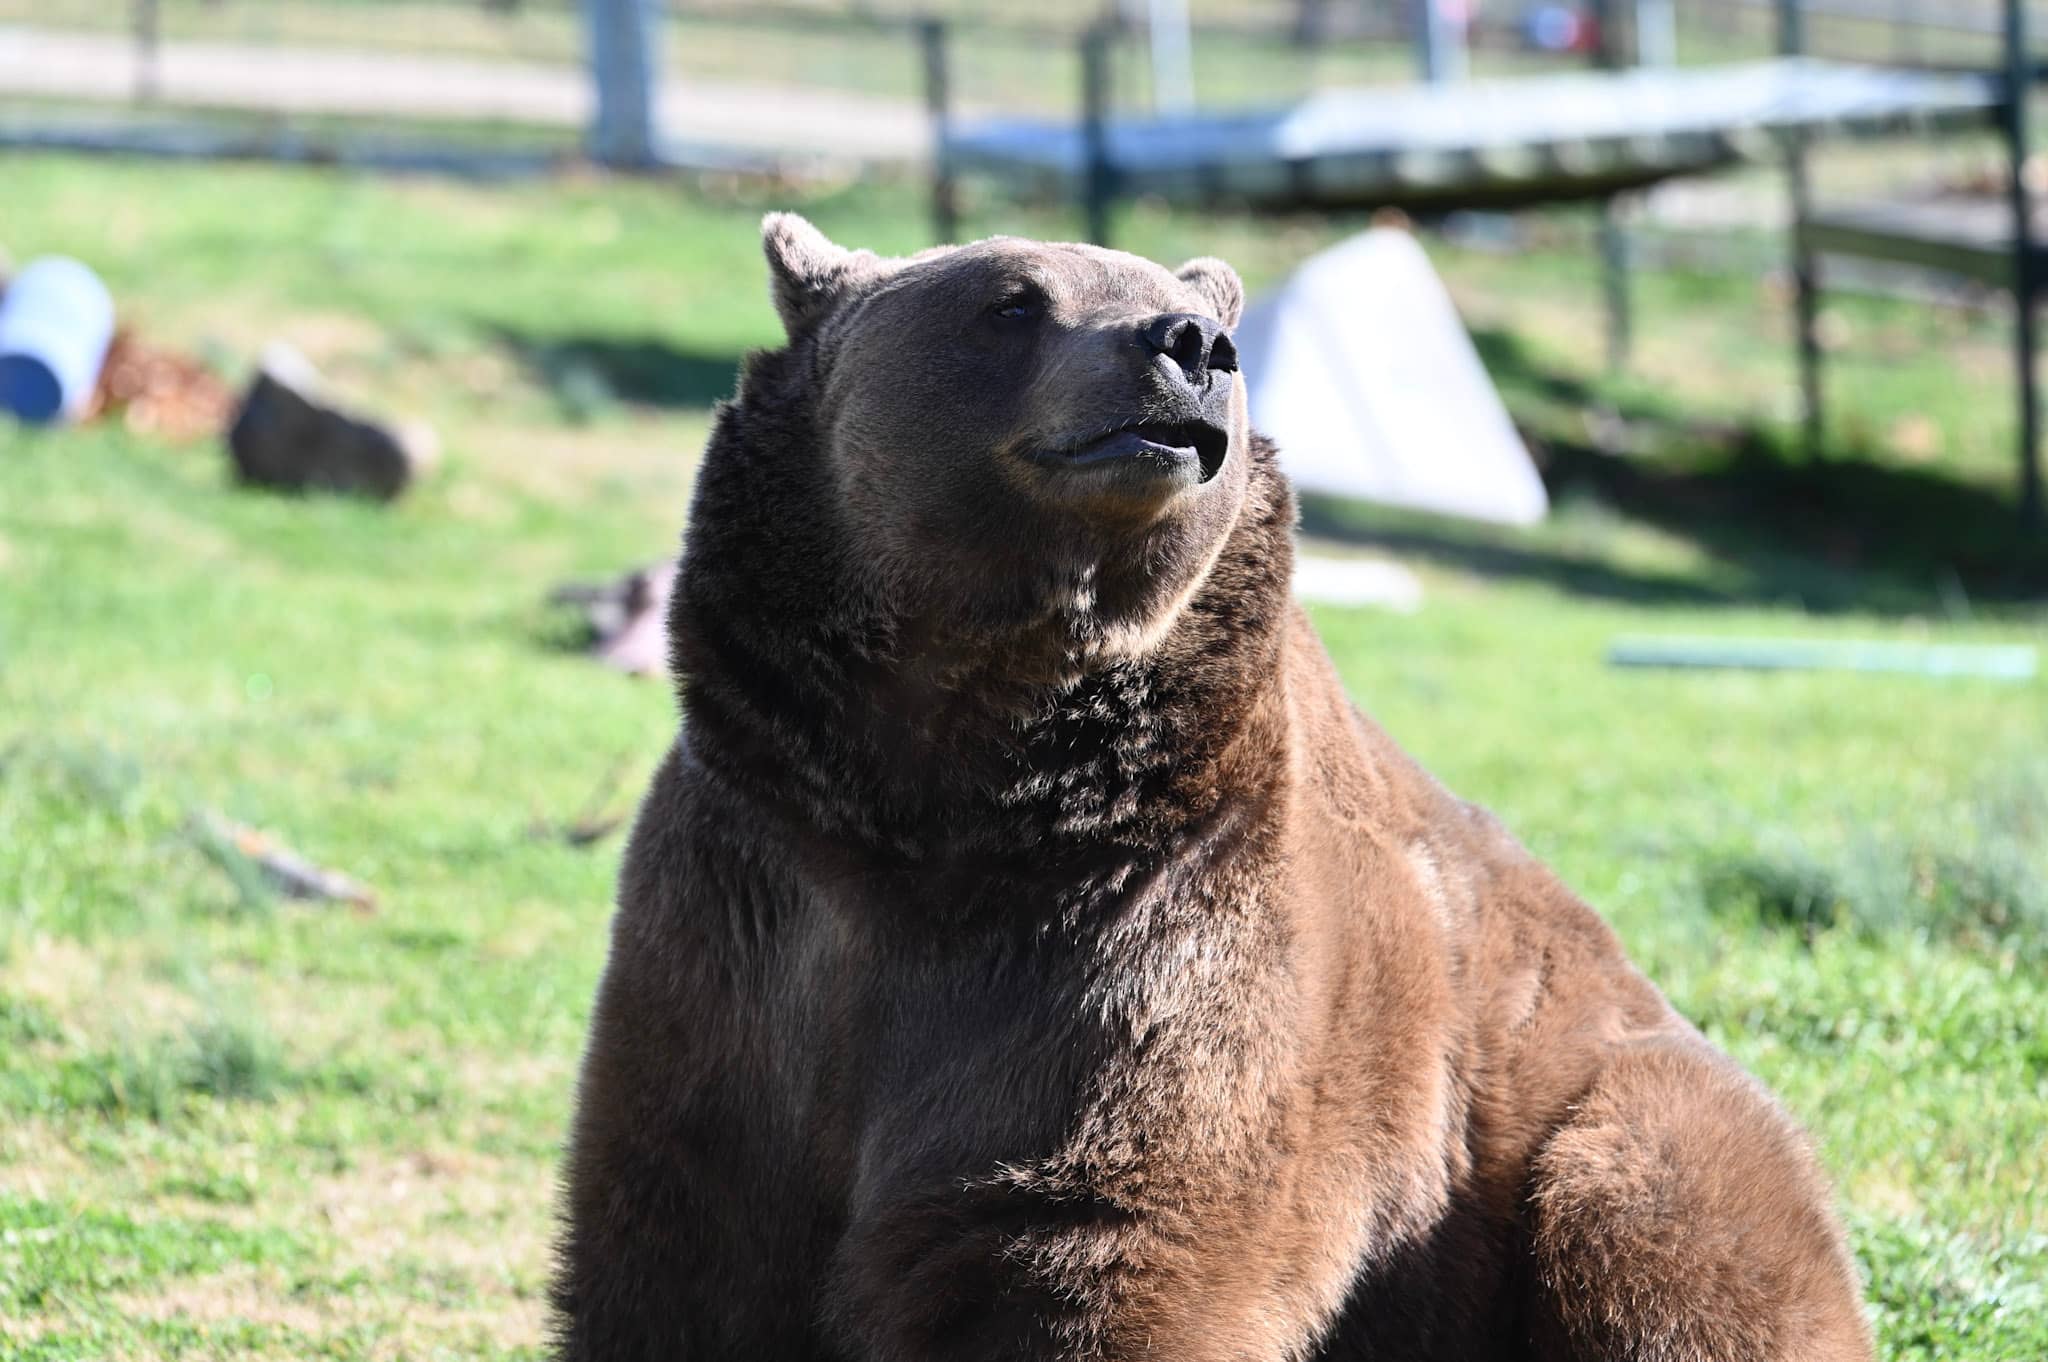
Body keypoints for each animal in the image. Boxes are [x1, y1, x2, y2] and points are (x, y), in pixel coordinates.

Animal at [549, 214, 1872, 1362]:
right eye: (1010, 300)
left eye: (1177, 303)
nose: (1191, 345)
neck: (945, 784)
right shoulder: (750, 907)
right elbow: (680, 1241)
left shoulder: (1153, 931)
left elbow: (1091, 1237)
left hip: (1601, 1121)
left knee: (1664, 1231)